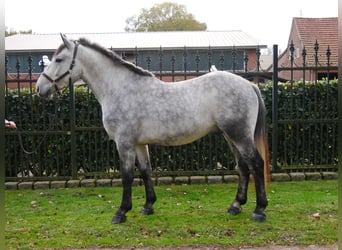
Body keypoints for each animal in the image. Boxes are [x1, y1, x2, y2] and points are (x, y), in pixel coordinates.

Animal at [36, 34, 270, 224]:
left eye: (58, 60)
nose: (40, 88)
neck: (121, 89)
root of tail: (249, 85)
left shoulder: (124, 143)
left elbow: (127, 175)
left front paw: (121, 212)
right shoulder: (139, 144)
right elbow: (145, 171)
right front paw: (148, 206)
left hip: (239, 135)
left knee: (256, 164)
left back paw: (259, 210)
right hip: (230, 136)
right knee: (243, 167)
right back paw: (236, 206)